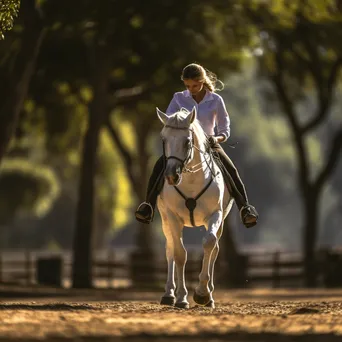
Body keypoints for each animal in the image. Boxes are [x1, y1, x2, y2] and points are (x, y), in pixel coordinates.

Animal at [156, 106, 234, 308]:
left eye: (187, 141)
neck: (191, 180)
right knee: (169, 248)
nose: (171, 176)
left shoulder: (215, 215)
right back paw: (168, 294)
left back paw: (210, 298)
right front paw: (182, 298)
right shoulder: (173, 217)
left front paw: (202, 294)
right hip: (165, 219)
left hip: (220, 221)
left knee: (215, 249)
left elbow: (209, 243)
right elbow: (179, 253)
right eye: (163, 139)